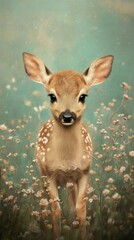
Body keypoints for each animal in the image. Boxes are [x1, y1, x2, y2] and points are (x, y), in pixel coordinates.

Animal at [22, 51, 113, 239]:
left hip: (71, 181)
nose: (67, 115)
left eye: (82, 96)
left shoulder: (84, 171)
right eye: (52, 96)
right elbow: (56, 209)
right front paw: (57, 235)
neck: (67, 161)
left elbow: (81, 208)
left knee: (72, 202)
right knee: (45, 202)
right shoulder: (50, 174)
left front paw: (82, 234)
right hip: (42, 172)